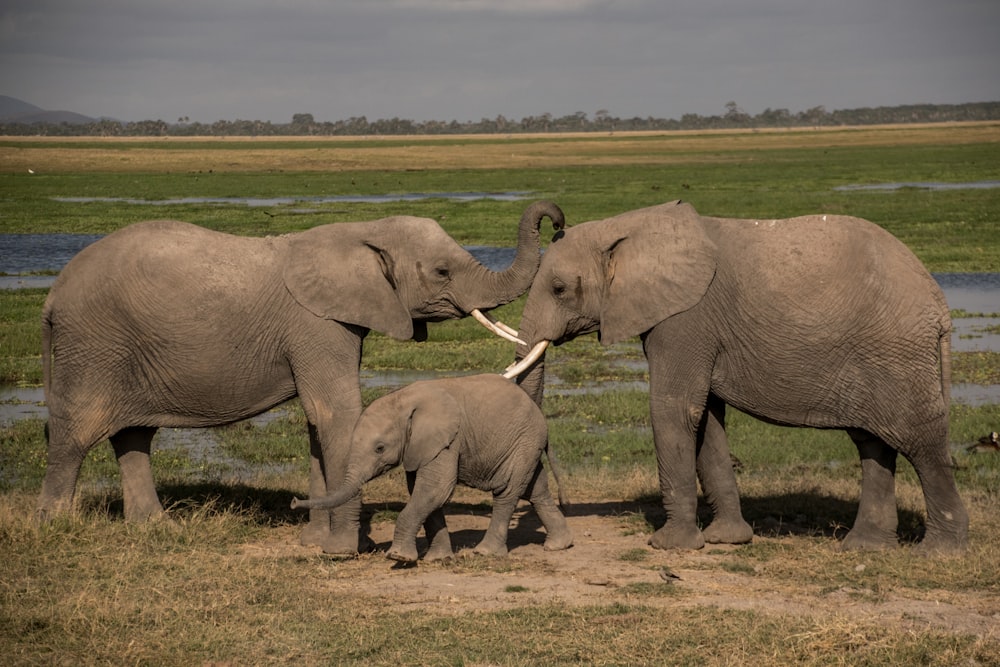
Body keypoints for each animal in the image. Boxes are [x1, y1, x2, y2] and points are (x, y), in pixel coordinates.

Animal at [290, 376, 572, 564]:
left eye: (380, 448)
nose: (293, 501)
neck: (403, 400)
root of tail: (540, 415)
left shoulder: (447, 441)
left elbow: (435, 489)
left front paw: (399, 557)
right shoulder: (418, 447)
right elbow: (423, 492)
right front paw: (438, 559)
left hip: (523, 441)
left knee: (508, 491)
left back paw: (485, 552)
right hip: (525, 444)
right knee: (535, 489)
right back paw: (559, 546)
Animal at [508, 201, 968, 556]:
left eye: (559, 289)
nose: (557, 219)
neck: (628, 226)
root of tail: (938, 303)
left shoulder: (685, 319)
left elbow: (674, 410)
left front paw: (670, 546)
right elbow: (707, 420)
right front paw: (727, 540)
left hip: (897, 353)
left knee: (921, 441)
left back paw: (939, 552)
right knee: (873, 442)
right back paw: (865, 548)